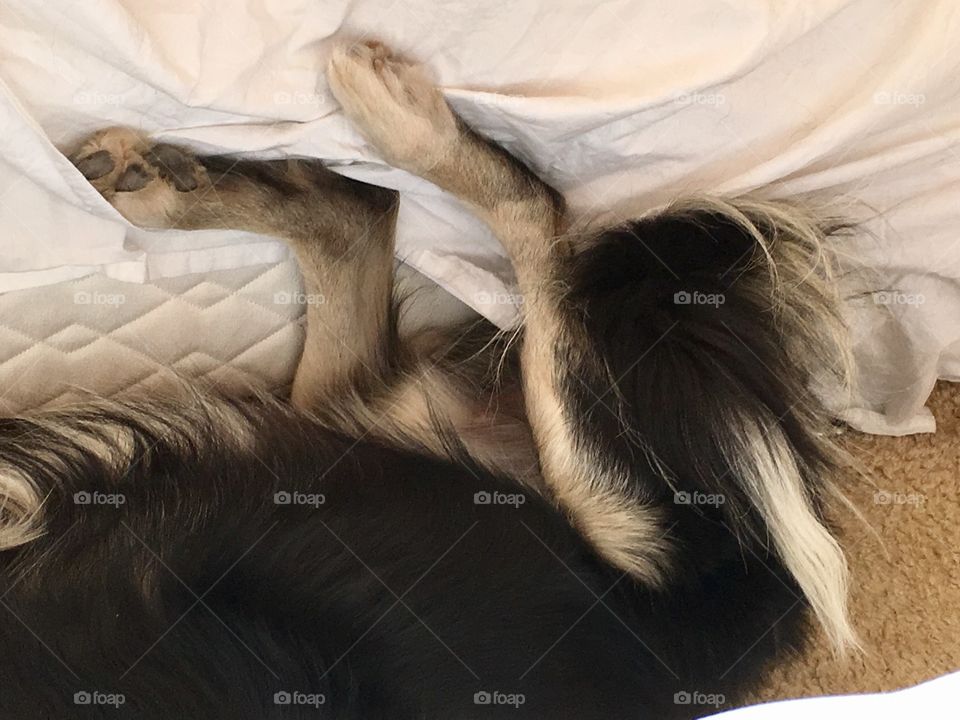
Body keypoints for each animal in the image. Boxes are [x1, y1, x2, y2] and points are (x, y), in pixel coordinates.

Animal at [0, 40, 856, 720]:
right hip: (362, 431)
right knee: (361, 228)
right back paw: (171, 188)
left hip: (613, 518)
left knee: (543, 234)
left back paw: (403, 120)